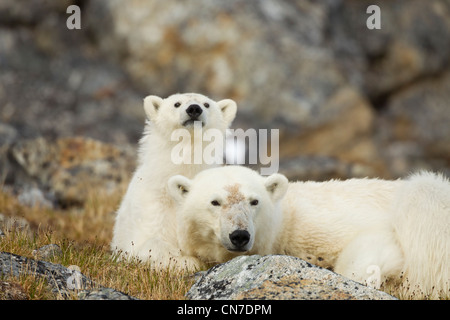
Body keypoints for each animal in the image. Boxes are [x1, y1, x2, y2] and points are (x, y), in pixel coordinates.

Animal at [110, 93, 237, 270]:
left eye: (206, 104)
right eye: (177, 103)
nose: (194, 109)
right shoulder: (154, 204)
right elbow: (150, 243)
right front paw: (187, 261)